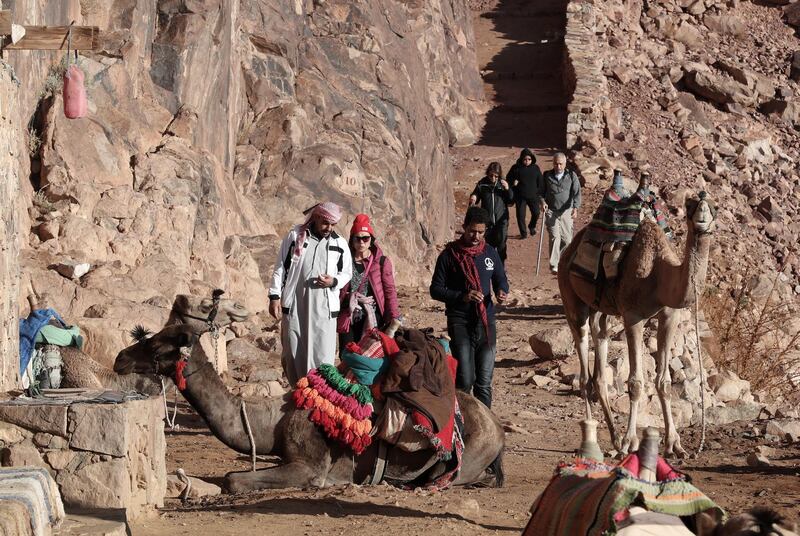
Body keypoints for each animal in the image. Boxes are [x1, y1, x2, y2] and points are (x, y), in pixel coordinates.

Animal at [112, 324, 504, 492]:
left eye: (157, 345)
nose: (119, 358)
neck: (272, 422)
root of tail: (497, 428)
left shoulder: (309, 465)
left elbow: (234, 480)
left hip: (469, 455)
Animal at [560, 193, 716, 456]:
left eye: (714, 207)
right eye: (690, 206)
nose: (702, 217)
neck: (659, 275)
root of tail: (568, 251)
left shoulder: (670, 315)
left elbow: (664, 382)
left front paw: (675, 445)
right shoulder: (633, 317)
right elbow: (635, 383)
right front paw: (630, 442)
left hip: (601, 311)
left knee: (600, 359)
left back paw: (613, 438)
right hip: (571, 299)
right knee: (583, 370)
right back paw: (592, 440)